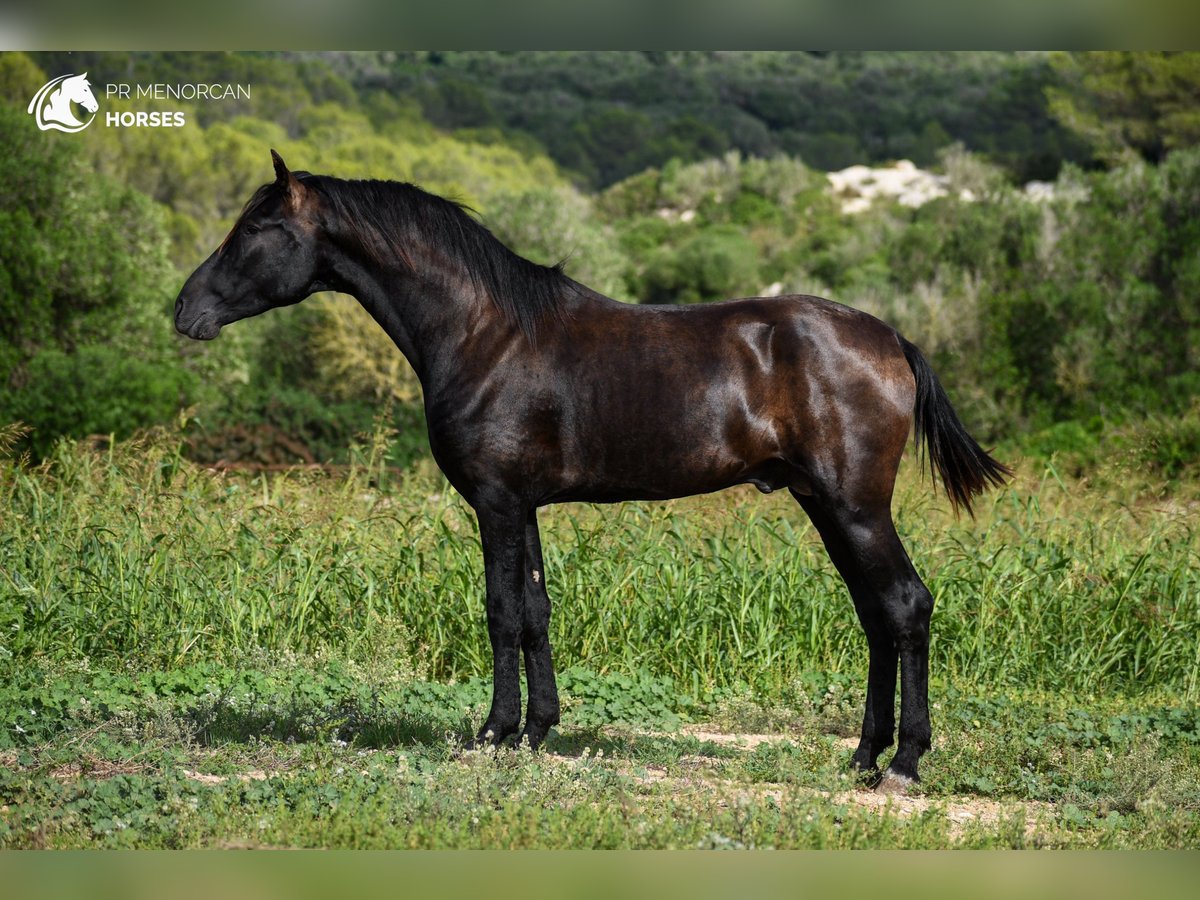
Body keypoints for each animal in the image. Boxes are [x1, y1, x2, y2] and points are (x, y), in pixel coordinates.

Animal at [174, 154, 1008, 787]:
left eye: (258, 228)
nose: (184, 310)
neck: (486, 332)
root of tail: (892, 339)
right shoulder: (525, 505)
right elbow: (538, 611)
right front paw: (539, 731)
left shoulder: (496, 502)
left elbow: (501, 611)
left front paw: (493, 733)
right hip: (825, 505)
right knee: (876, 616)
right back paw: (863, 756)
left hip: (856, 505)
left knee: (905, 605)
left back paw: (904, 763)